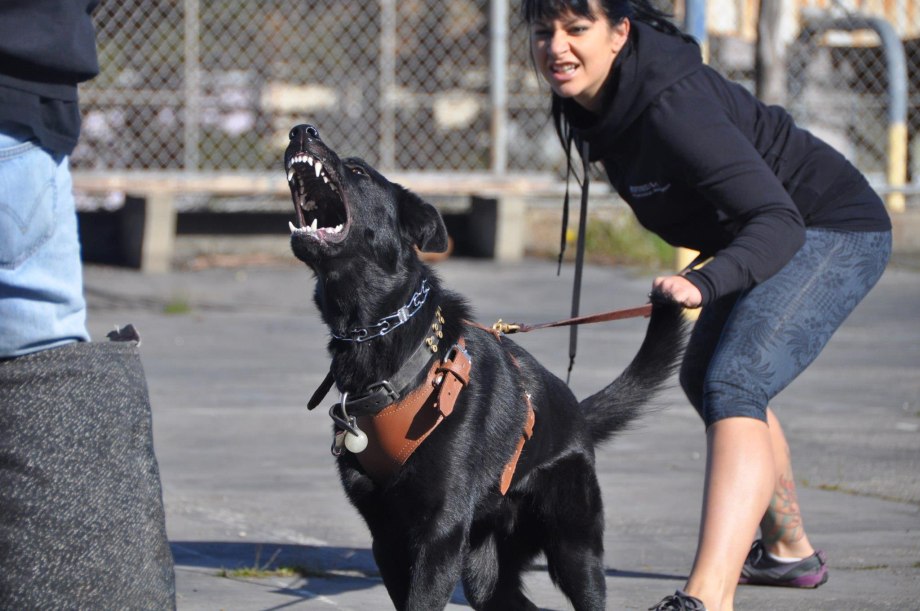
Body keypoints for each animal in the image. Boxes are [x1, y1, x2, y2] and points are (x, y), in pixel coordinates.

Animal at [286, 124, 684, 611]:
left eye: (358, 170)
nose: (301, 130)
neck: (380, 340)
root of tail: (577, 412)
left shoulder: (439, 534)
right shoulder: (388, 540)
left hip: (573, 548)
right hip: (485, 570)